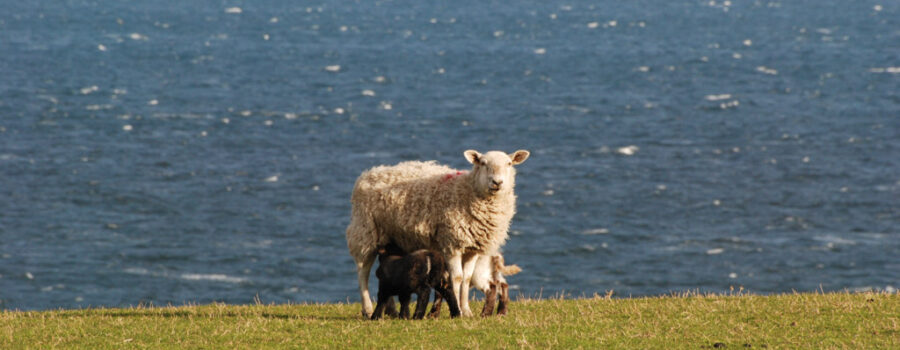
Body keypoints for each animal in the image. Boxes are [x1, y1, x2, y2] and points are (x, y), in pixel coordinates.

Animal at [344, 149, 528, 318]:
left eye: (509, 164)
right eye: (483, 163)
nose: (497, 182)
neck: (468, 189)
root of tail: (369, 173)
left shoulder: (473, 249)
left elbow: (467, 279)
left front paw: (466, 310)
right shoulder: (452, 244)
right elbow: (457, 278)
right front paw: (456, 309)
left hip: (392, 240)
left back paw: (392, 311)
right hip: (365, 233)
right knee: (363, 272)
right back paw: (367, 309)